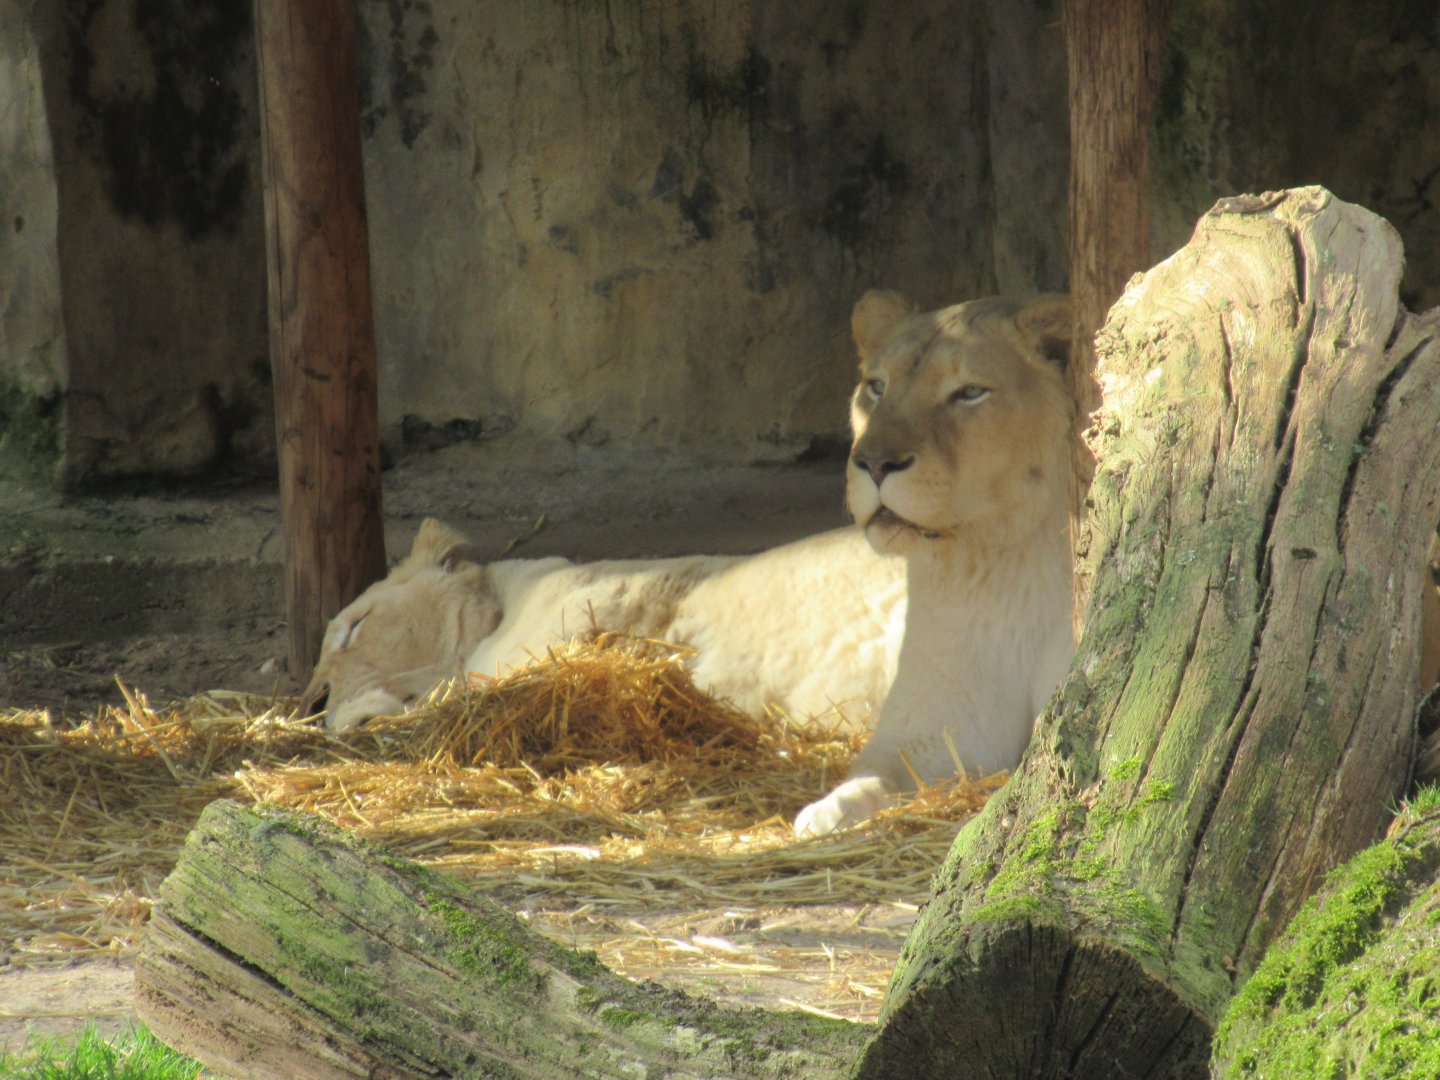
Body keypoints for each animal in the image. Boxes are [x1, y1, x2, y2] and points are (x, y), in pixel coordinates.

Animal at [791, 290, 1078, 836]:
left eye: (969, 392)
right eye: (876, 387)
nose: (874, 463)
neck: (1004, 557)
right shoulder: (940, 731)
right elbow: (872, 775)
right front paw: (826, 812)